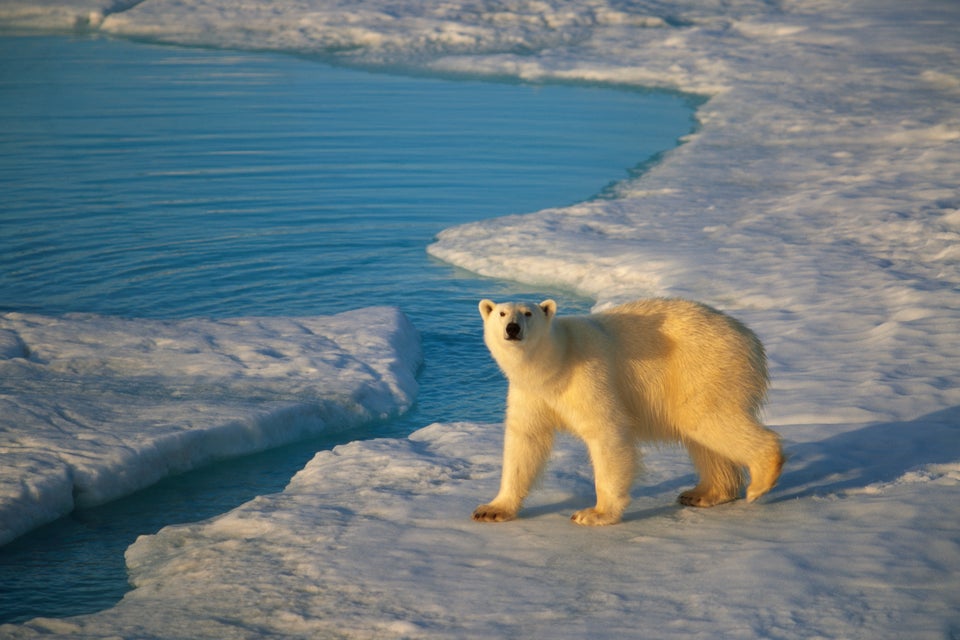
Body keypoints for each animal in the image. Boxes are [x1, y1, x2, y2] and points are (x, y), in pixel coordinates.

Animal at [472, 298, 780, 528]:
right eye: (501, 313)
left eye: (528, 313)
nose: (512, 328)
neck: (555, 362)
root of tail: (751, 339)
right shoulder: (530, 393)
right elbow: (525, 441)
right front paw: (491, 509)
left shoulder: (588, 376)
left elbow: (607, 431)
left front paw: (594, 513)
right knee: (702, 436)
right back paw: (704, 493)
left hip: (704, 367)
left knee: (708, 420)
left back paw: (760, 480)